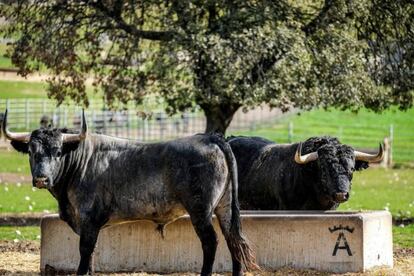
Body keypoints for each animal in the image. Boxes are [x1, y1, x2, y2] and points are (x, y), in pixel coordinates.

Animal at [1, 110, 258, 276]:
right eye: (31, 152)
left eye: (57, 152)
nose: (41, 178)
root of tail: (211, 138)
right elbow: (91, 256)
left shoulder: (89, 220)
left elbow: (85, 252)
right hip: (224, 207)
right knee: (233, 240)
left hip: (200, 210)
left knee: (211, 242)